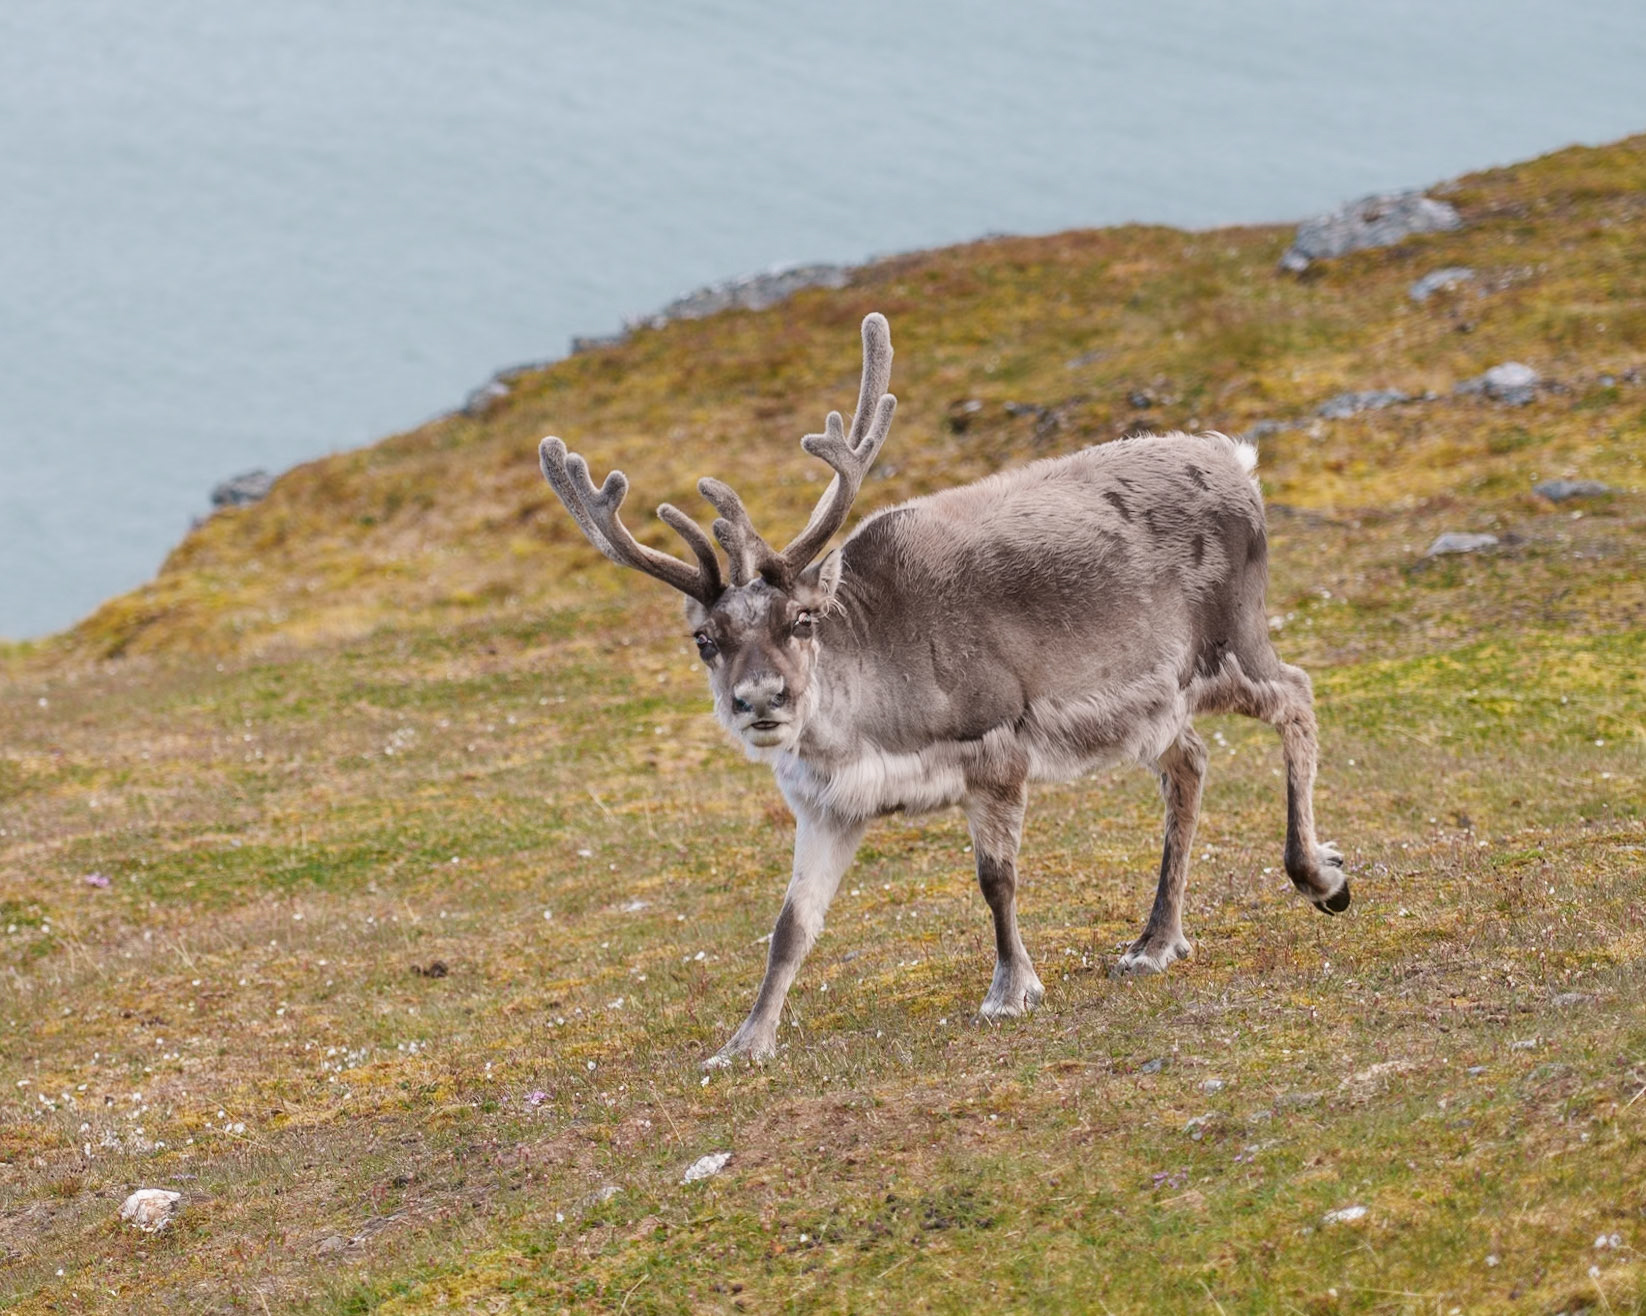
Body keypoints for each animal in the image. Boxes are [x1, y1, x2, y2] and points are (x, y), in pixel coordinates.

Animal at [538, 312, 1348, 1067]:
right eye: (705, 639)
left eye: (801, 620)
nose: (762, 700)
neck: (866, 723)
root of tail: (1236, 461)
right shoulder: (829, 805)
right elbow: (790, 927)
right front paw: (746, 1041)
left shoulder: (993, 750)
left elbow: (996, 880)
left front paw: (1010, 988)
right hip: (1154, 705)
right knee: (1191, 762)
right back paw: (1155, 942)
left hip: (1231, 644)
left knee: (1297, 694)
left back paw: (1319, 876)